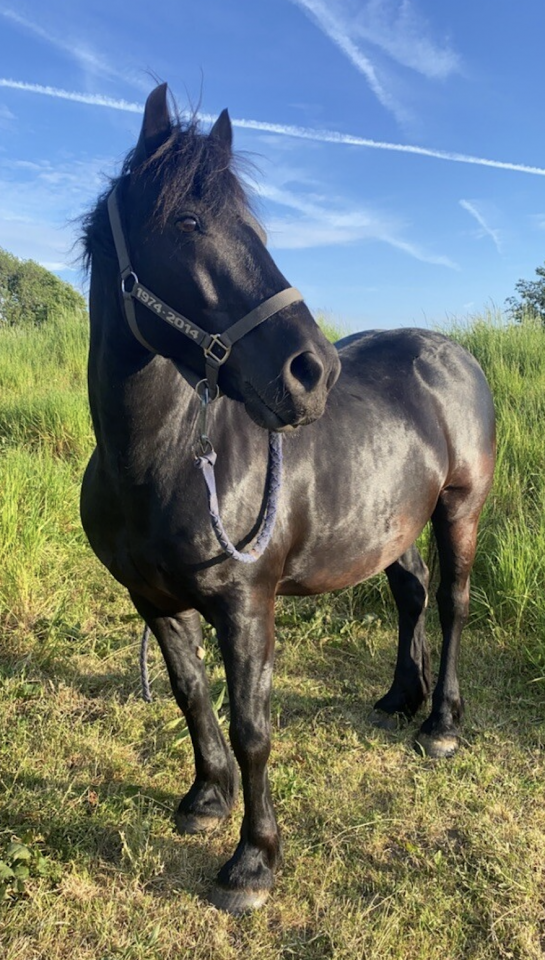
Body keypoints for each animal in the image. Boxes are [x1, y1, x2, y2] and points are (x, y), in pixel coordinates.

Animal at [80, 83, 496, 914]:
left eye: (256, 229)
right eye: (187, 221)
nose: (314, 372)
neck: (162, 461)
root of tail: (452, 356)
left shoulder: (246, 606)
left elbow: (251, 725)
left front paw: (253, 862)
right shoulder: (153, 600)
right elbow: (189, 695)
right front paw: (205, 799)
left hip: (458, 508)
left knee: (453, 602)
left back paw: (439, 722)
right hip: (389, 523)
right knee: (411, 594)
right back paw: (400, 696)